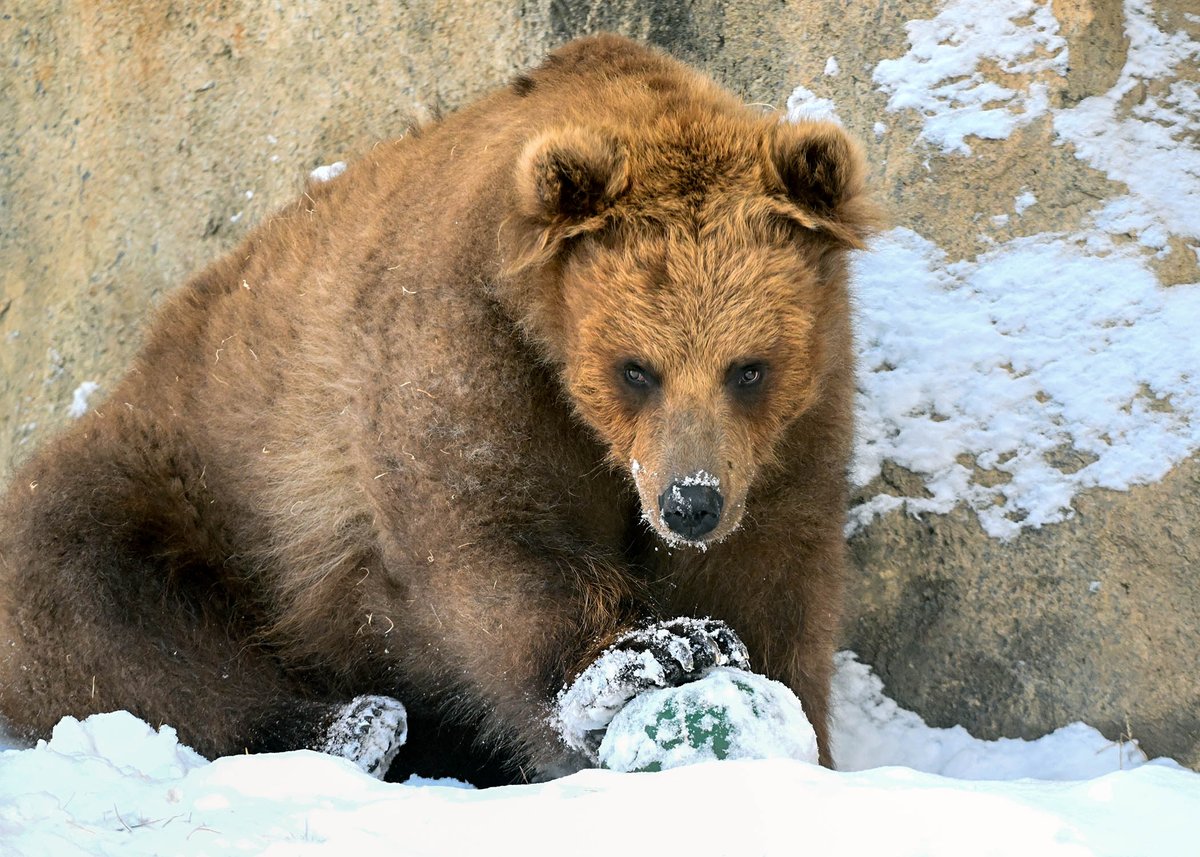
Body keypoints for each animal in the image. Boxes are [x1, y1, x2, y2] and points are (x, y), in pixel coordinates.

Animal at [0, 34, 874, 784]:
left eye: (749, 367)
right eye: (636, 368)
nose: (690, 502)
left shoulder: (793, 425)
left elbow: (772, 572)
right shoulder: (457, 340)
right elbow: (487, 534)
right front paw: (653, 650)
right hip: (190, 469)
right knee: (99, 600)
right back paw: (349, 726)